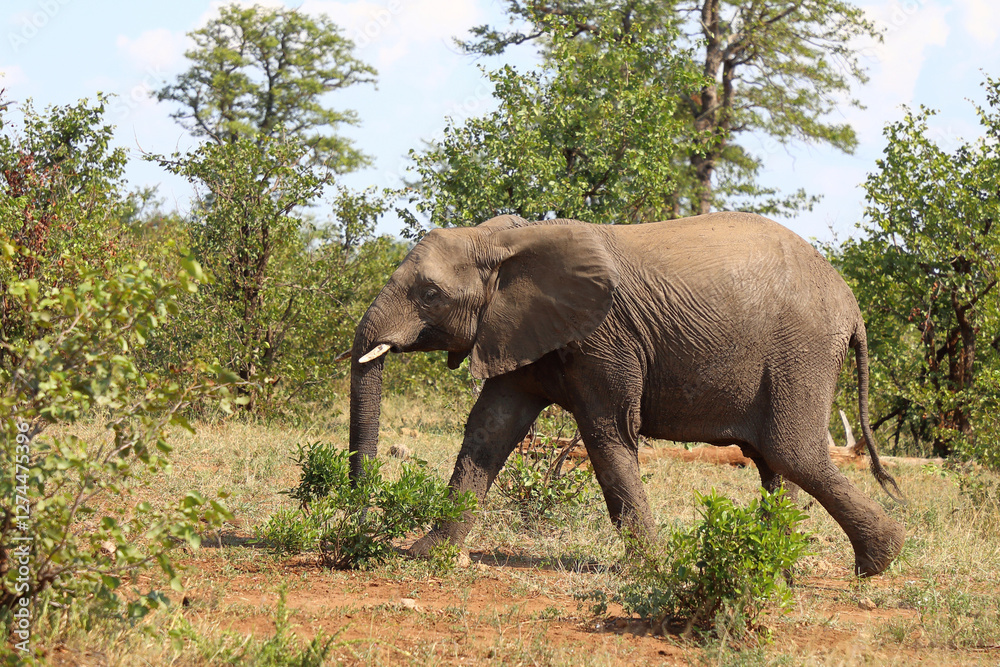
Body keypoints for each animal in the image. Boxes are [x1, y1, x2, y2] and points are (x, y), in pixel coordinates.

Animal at [348, 211, 905, 577]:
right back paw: (772, 566)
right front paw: (426, 554)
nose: (358, 520)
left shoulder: (605, 338)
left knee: (793, 452)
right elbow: (489, 430)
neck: (508, 240)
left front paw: (651, 568)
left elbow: (608, 436)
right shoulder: (519, 331)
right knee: (776, 461)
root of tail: (853, 306)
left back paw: (879, 561)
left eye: (430, 295)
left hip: (802, 350)